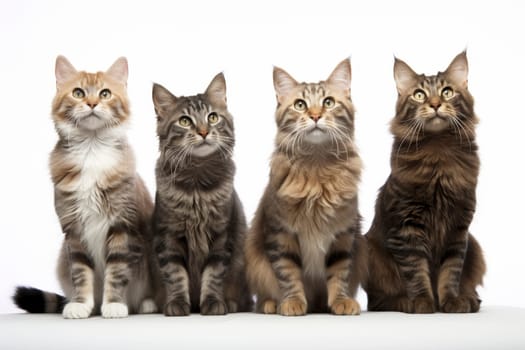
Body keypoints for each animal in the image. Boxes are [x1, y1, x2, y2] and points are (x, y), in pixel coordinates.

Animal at [13, 54, 161, 318]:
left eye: (105, 93)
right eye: (78, 93)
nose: (92, 103)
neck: (92, 149)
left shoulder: (121, 225)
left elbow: (117, 272)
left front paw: (114, 304)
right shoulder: (73, 230)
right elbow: (81, 274)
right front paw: (81, 304)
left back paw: (146, 304)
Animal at [150, 72, 251, 316]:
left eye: (212, 117)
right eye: (185, 121)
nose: (204, 132)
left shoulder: (221, 235)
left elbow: (213, 275)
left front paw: (213, 303)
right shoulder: (168, 235)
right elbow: (175, 275)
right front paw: (177, 304)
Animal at [245, 58, 364, 316]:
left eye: (328, 102)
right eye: (300, 105)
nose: (315, 116)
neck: (317, 169)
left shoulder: (343, 233)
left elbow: (340, 273)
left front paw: (341, 301)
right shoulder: (280, 232)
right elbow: (288, 273)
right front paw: (292, 302)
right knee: (263, 295)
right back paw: (271, 304)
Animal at [362, 50, 486, 314]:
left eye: (447, 92)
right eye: (419, 95)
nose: (436, 104)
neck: (438, 152)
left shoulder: (458, 229)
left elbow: (451, 272)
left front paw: (451, 302)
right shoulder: (407, 226)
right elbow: (415, 270)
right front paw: (422, 302)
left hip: (474, 246)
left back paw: (470, 299)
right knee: (377, 301)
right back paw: (403, 302)